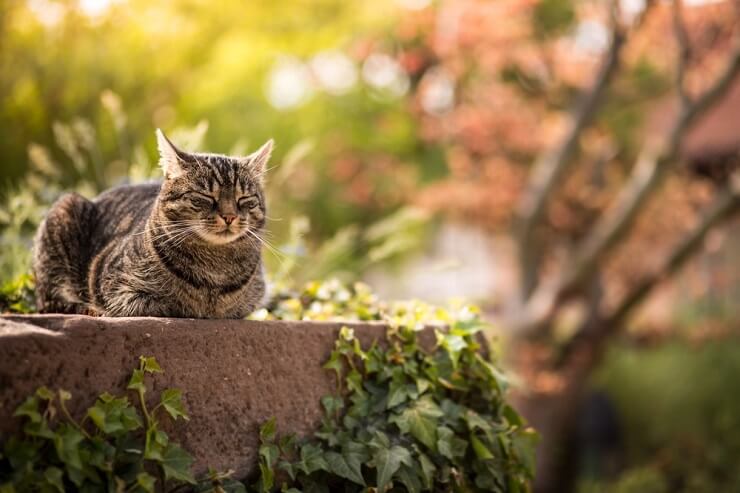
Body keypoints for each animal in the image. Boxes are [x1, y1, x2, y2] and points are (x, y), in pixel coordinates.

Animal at [33, 129, 272, 318]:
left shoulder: (252, 301)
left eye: (244, 199)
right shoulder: (114, 285)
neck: (215, 269)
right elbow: (157, 304)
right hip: (65, 208)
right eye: (204, 196)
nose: (229, 216)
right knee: (50, 301)